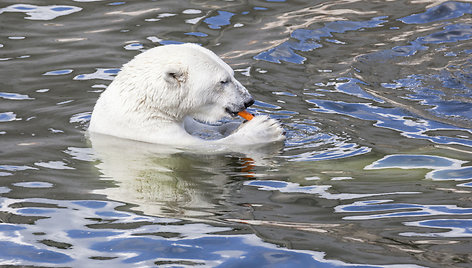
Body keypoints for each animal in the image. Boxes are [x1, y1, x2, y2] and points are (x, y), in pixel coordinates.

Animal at [89, 44, 284, 149]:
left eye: (232, 74)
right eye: (223, 81)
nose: (248, 100)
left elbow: (200, 128)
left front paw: (236, 125)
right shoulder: (150, 131)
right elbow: (205, 146)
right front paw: (266, 127)